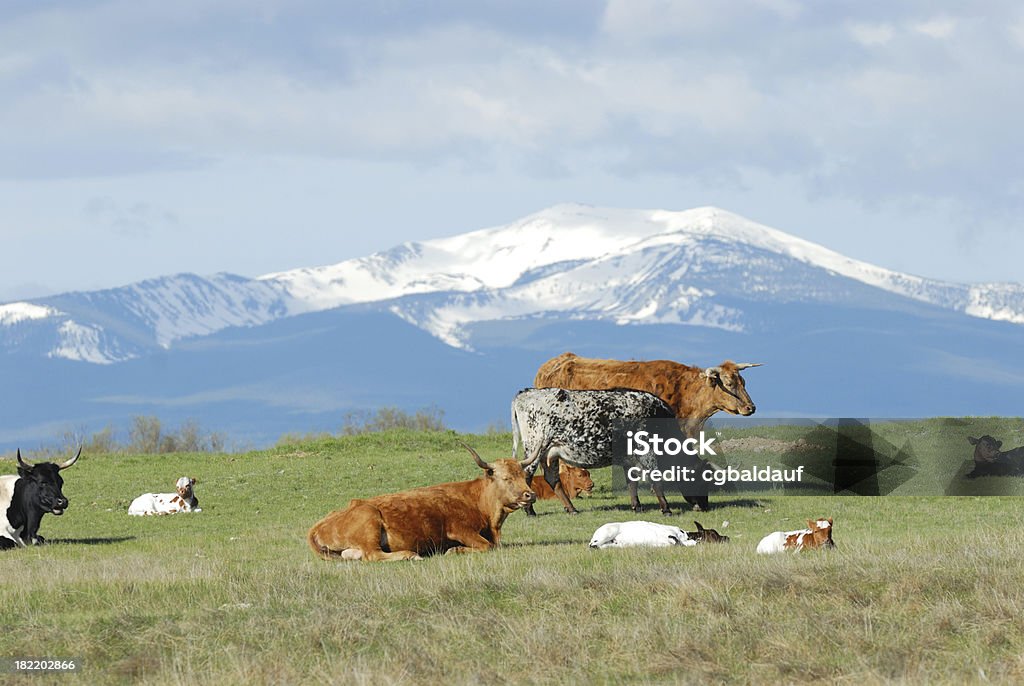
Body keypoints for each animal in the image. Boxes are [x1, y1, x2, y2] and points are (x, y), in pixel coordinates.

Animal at [305, 446, 540, 565]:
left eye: (523, 476)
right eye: (506, 478)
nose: (530, 495)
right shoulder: (460, 529)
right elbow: (487, 546)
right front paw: (454, 550)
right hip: (369, 519)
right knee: (373, 555)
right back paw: (410, 555)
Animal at [512, 389, 712, 518]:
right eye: (702, 480)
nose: (705, 506)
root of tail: (526, 392)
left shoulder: (629, 459)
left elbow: (632, 483)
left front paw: (637, 507)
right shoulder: (647, 450)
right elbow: (656, 480)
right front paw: (666, 509)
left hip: (549, 454)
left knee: (553, 479)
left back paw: (572, 509)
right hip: (534, 448)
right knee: (527, 475)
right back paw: (530, 511)